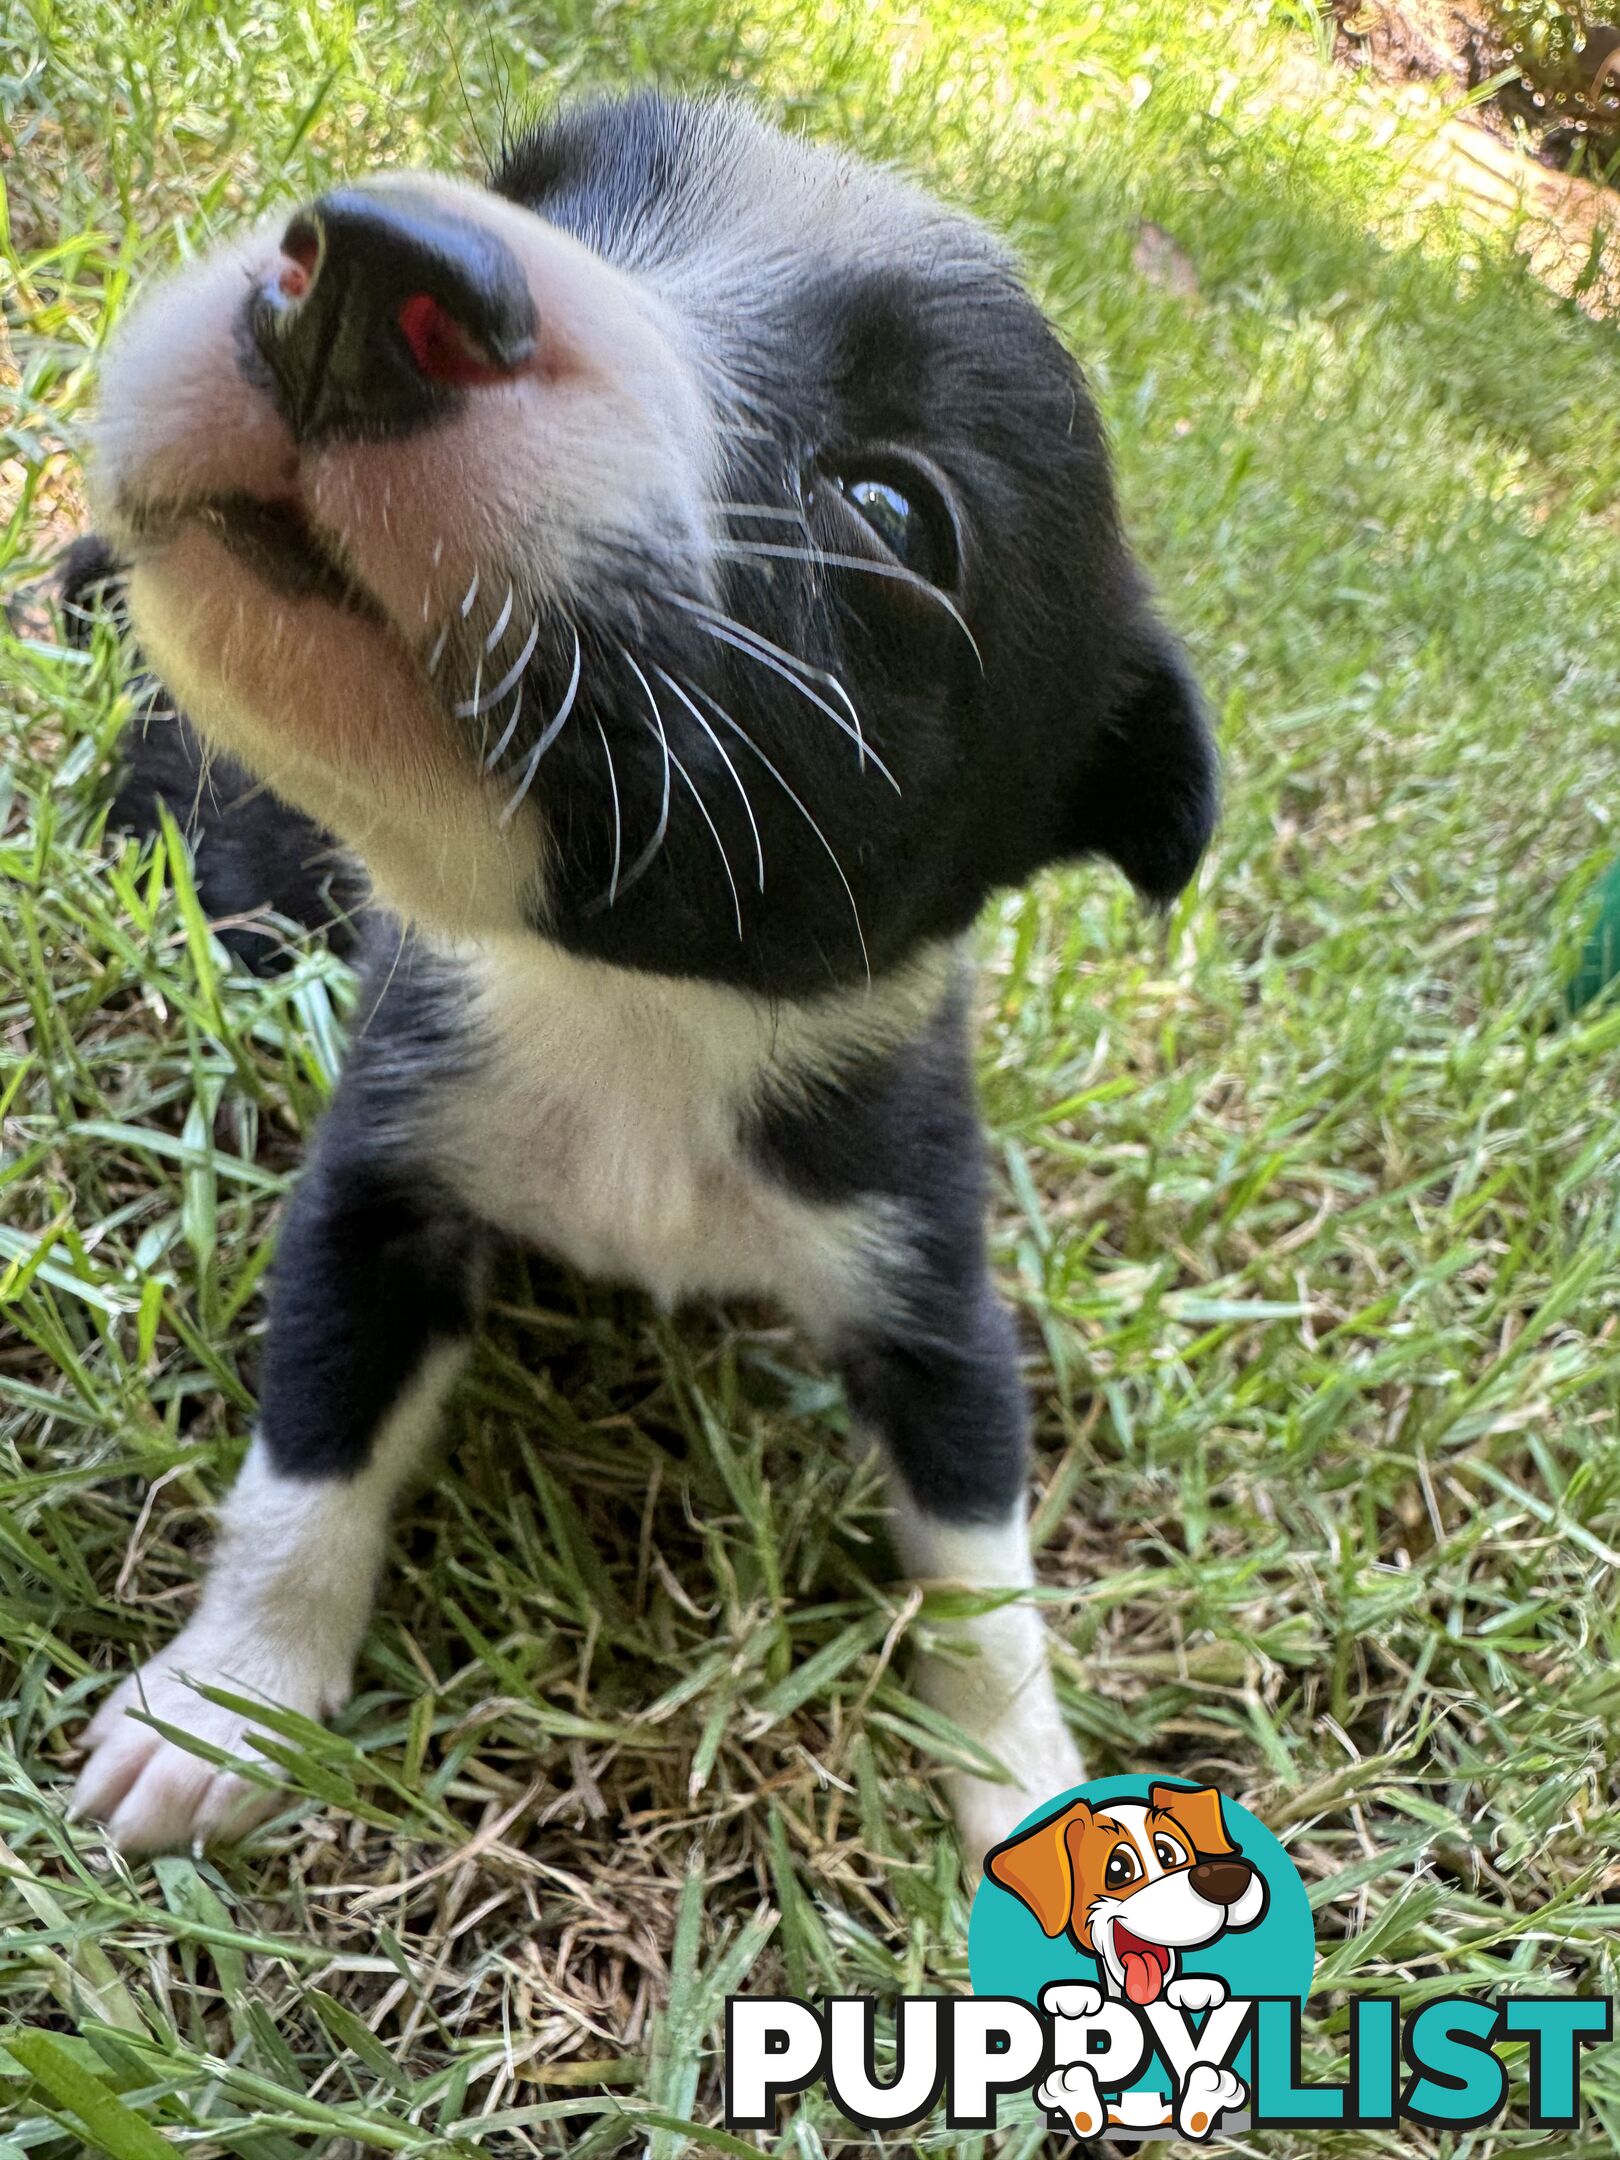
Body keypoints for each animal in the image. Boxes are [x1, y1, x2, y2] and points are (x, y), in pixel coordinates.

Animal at [72, 92, 1218, 1866]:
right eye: (531, 194)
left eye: (891, 511)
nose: (376, 267)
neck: (642, 1016)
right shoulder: (381, 1182)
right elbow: (309, 1459)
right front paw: (227, 1698)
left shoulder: (930, 1282)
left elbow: (984, 1579)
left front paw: (1030, 1787)